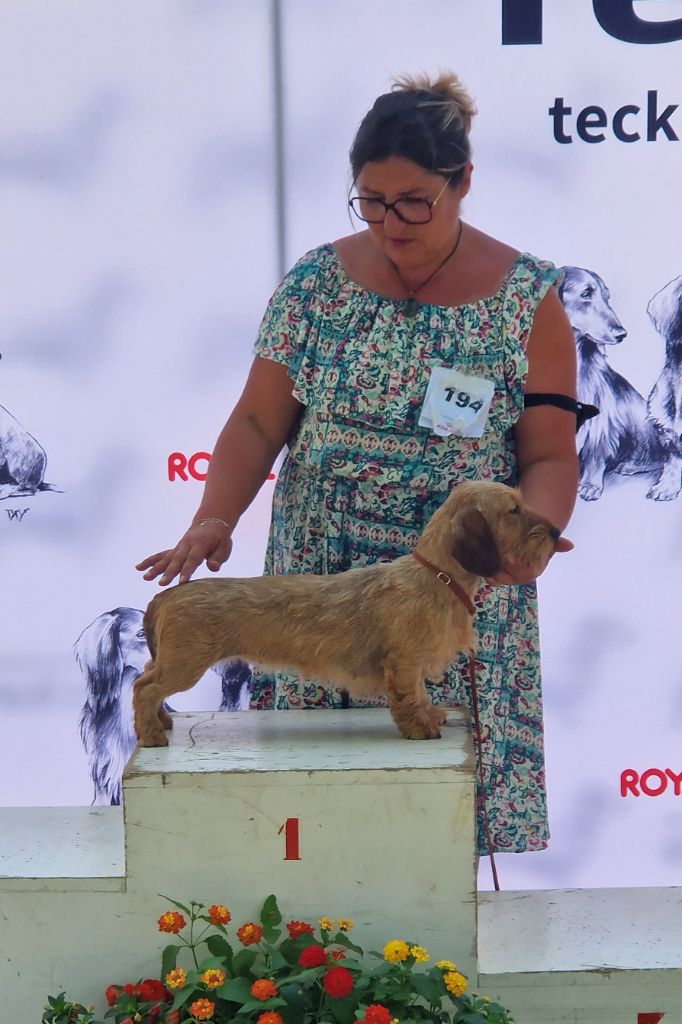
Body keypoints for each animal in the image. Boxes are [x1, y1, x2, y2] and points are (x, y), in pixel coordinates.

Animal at [133, 479, 557, 745]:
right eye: (514, 510)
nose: (554, 532)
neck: (435, 576)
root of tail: (166, 597)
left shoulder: (411, 664)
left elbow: (419, 693)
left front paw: (430, 715)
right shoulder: (403, 662)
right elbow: (408, 697)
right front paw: (418, 728)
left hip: (172, 662)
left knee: (147, 678)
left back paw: (160, 722)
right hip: (185, 665)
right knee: (143, 687)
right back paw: (150, 734)